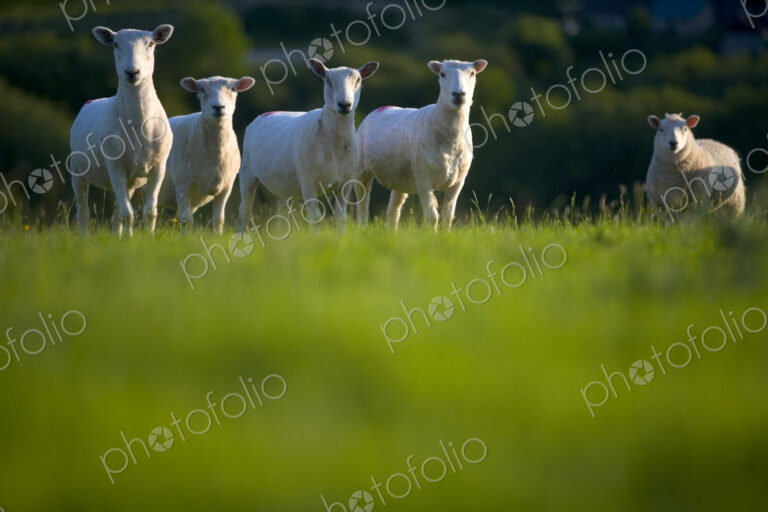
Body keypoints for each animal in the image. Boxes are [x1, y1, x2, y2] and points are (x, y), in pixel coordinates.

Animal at [69, 25, 175, 236]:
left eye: (151, 43)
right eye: (116, 44)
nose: (132, 72)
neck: (139, 125)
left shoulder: (159, 166)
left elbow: (149, 212)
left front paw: (145, 238)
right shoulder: (115, 166)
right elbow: (128, 214)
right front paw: (129, 240)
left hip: (130, 180)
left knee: (117, 213)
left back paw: (117, 236)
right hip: (77, 170)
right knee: (83, 212)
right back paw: (84, 238)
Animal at [152, 75, 255, 234]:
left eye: (233, 88)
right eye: (201, 89)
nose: (218, 107)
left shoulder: (226, 188)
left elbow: (219, 220)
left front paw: (217, 236)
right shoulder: (182, 186)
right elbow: (186, 220)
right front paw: (185, 239)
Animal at [238, 58, 379, 233]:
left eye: (358, 80)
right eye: (328, 81)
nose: (344, 105)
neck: (334, 145)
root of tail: (265, 114)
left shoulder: (345, 183)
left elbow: (341, 218)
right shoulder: (308, 181)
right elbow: (315, 217)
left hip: (284, 183)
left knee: (281, 214)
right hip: (247, 172)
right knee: (244, 211)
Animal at [356, 59, 488, 230]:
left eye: (472, 73)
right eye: (442, 74)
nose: (459, 94)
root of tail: (382, 108)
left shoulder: (458, 182)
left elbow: (448, 217)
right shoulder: (423, 179)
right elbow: (433, 217)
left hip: (400, 177)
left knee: (393, 211)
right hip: (361, 169)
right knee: (362, 205)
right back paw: (361, 226)